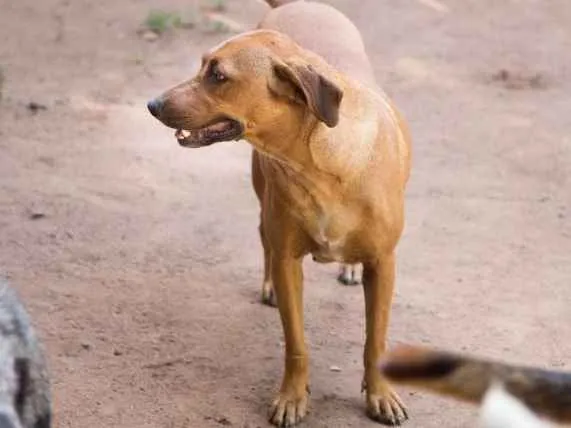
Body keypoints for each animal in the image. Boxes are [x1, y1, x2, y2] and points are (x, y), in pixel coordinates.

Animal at [149, 0, 412, 424]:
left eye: (218, 75)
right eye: (203, 64)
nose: (152, 105)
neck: (320, 167)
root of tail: (295, 4)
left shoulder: (384, 263)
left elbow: (376, 341)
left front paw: (380, 394)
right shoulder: (290, 261)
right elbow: (296, 344)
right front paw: (292, 397)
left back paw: (350, 269)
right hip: (263, 195)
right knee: (263, 238)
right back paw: (269, 282)